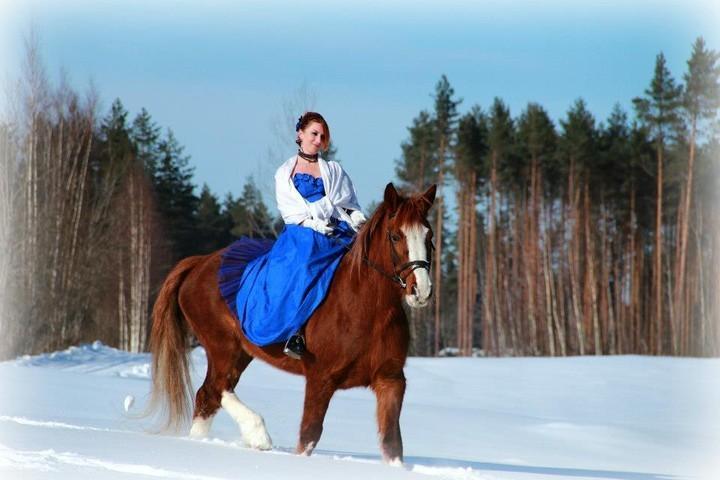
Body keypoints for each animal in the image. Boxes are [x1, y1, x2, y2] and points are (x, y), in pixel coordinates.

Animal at [149, 182, 436, 464]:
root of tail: (199, 263)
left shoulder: (391, 381)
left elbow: (392, 443)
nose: (420, 291)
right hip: (222, 348)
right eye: (395, 236)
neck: (367, 308)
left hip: (239, 353)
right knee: (216, 389)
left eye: (429, 236)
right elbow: (309, 435)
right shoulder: (320, 379)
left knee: (208, 397)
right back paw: (258, 435)